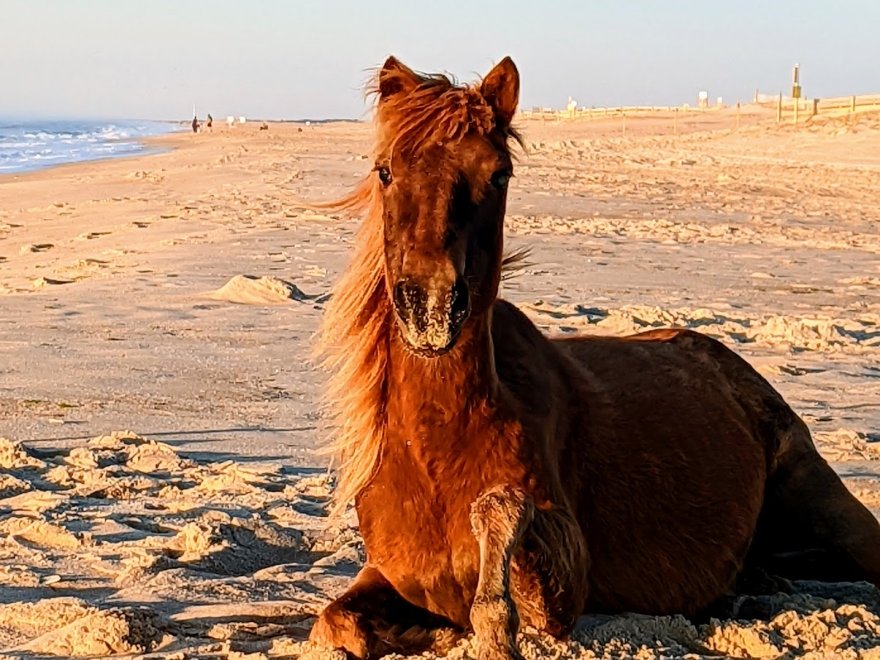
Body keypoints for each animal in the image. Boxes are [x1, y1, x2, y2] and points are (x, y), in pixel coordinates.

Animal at [308, 58, 880, 660]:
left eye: (500, 175)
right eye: (384, 171)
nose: (432, 306)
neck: (434, 451)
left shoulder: (565, 583)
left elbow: (503, 523)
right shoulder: (387, 577)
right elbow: (335, 625)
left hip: (832, 510)